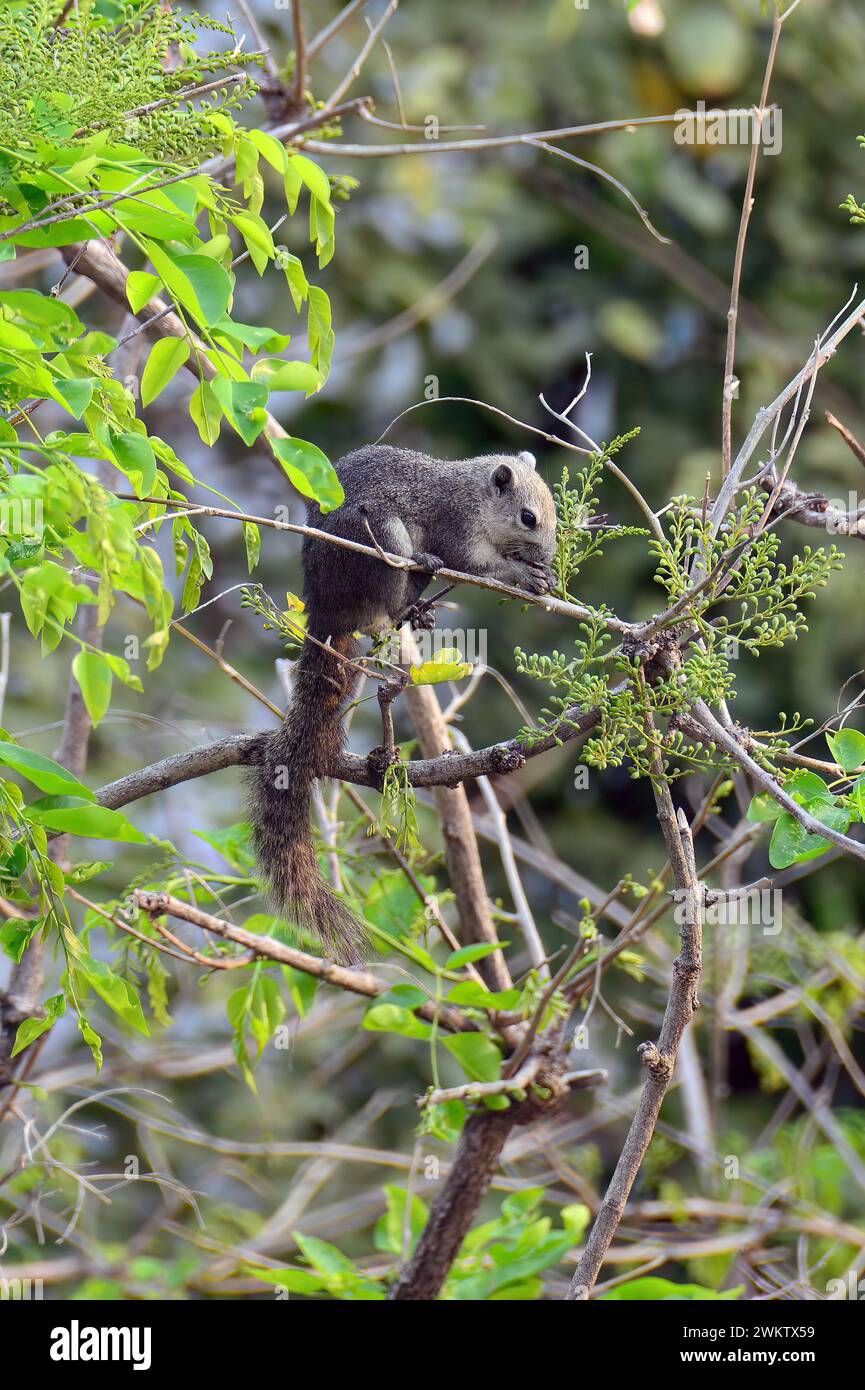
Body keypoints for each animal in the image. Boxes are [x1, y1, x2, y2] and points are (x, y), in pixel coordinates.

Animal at [248, 444, 561, 967]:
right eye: (528, 518)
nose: (549, 556)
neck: (475, 494)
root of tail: (326, 607)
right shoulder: (457, 528)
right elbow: (476, 564)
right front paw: (524, 573)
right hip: (379, 540)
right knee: (392, 589)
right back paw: (418, 574)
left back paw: (420, 608)